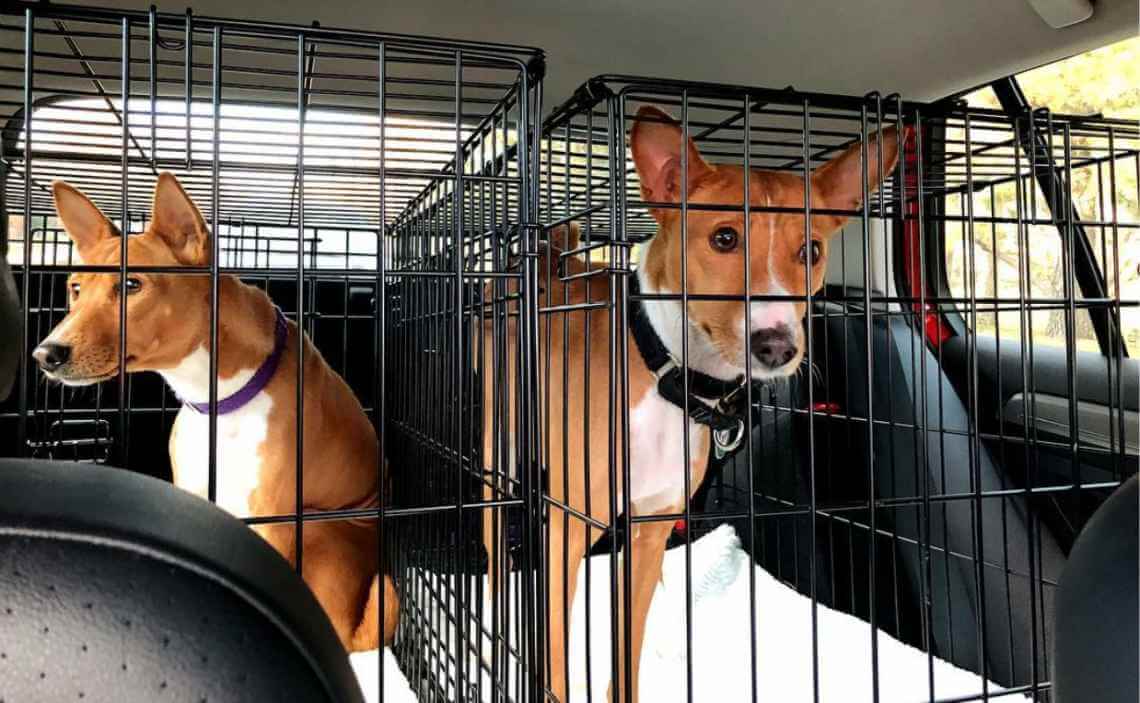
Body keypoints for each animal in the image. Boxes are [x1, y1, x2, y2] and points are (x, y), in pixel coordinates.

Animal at [33, 173, 399, 651]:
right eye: (75, 288)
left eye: (132, 286)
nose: (45, 354)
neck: (218, 400)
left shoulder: (274, 519)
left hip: (320, 528)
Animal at [478, 105, 889, 701]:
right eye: (724, 237)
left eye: (810, 251)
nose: (776, 346)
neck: (667, 372)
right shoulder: (568, 530)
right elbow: (554, 658)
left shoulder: (650, 529)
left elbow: (626, 648)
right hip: (498, 449)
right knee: (492, 541)